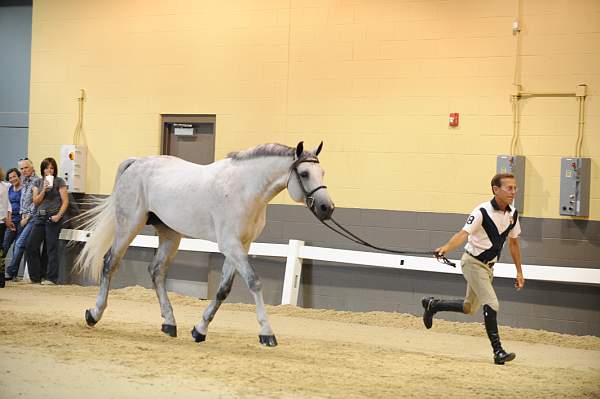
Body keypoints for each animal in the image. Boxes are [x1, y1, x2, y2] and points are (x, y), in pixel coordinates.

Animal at [74, 141, 332, 346]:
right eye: (305, 173)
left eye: (323, 172)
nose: (326, 208)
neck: (245, 189)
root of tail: (137, 163)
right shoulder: (231, 245)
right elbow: (254, 282)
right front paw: (267, 333)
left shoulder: (241, 246)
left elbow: (223, 290)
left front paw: (199, 330)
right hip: (129, 225)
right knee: (111, 263)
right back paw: (94, 314)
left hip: (170, 233)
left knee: (157, 271)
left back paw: (169, 323)